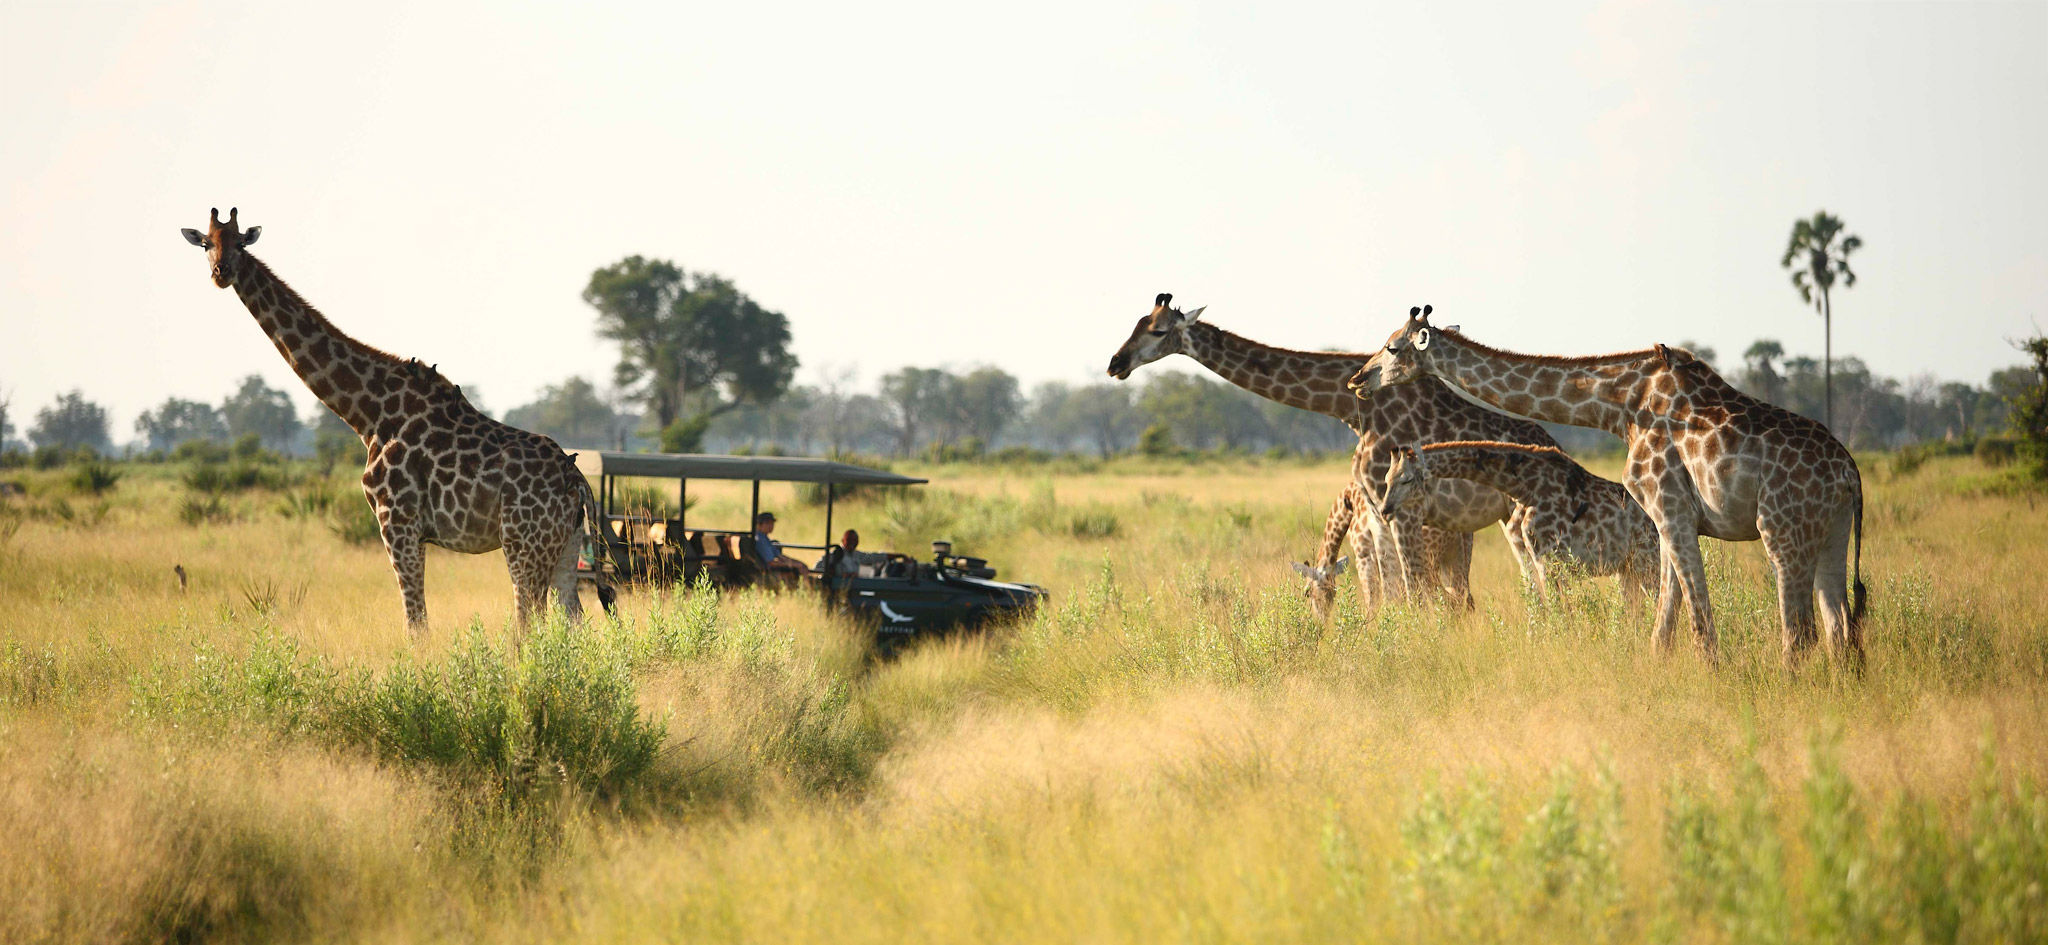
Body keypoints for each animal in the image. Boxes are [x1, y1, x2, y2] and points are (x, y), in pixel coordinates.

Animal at [182, 204, 614, 635]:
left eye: (240, 243)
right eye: (206, 243)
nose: (221, 272)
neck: (368, 414)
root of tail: (577, 479)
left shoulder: (396, 521)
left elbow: (416, 623)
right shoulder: (409, 530)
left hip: (524, 545)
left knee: (529, 622)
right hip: (565, 547)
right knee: (573, 619)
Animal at [1105, 291, 1548, 606]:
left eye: (1158, 332)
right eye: (1137, 323)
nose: (1115, 363)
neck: (1350, 408)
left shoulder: (1399, 509)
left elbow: (1410, 594)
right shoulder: (1377, 510)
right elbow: (1393, 594)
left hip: (1510, 521)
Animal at [1376, 440, 1662, 606]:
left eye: (1406, 480)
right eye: (1387, 479)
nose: (1385, 510)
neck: (1525, 487)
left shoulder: (1550, 559)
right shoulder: (1533, 555)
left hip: (1648, 562)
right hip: (1628, 568)